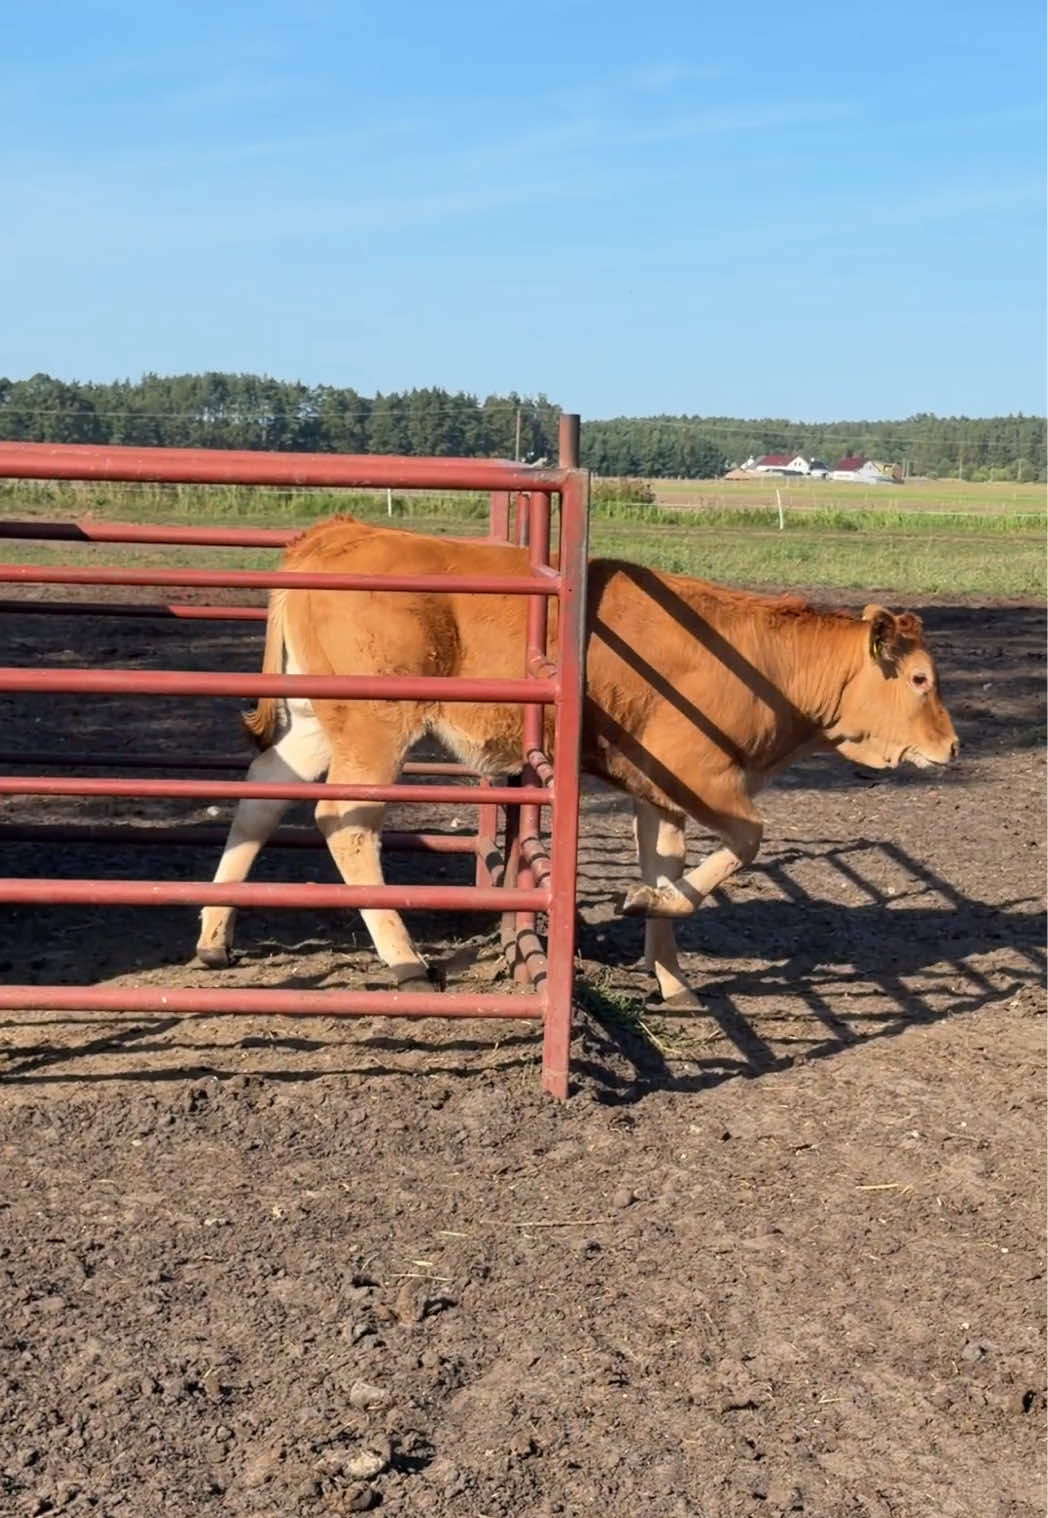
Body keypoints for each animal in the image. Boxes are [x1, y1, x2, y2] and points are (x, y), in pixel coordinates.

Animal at [196, 514, 958, 1003]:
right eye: (921, 679)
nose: (952, 746)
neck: (758, 658)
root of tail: (336, 534)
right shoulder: (706, 778)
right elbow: (745, 841)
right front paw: (648, 904)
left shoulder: (659, 791)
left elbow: (666, 865)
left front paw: (670, 971)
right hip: (374, 728)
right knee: (344, 822)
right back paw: (406, 961)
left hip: (318, 721)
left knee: (264, 790)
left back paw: (214, 933)